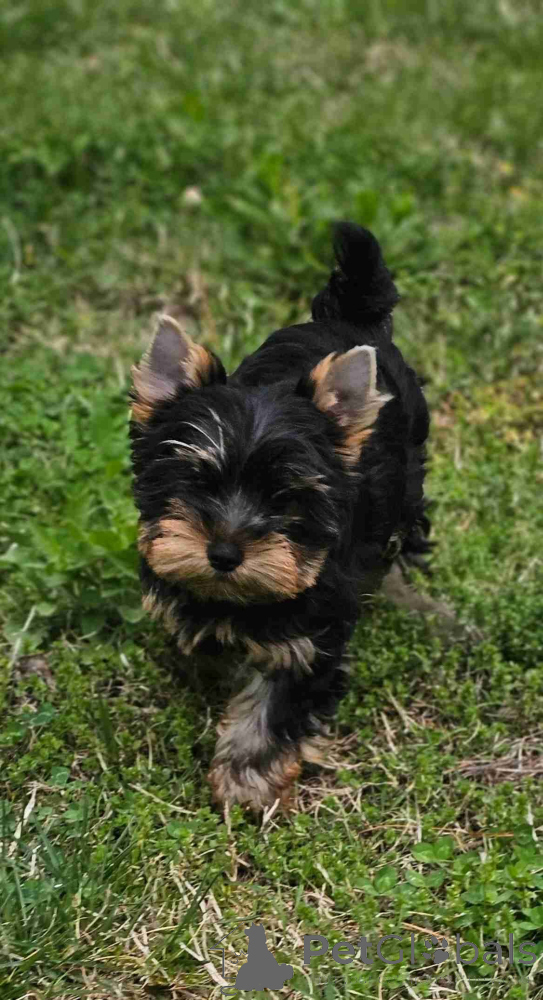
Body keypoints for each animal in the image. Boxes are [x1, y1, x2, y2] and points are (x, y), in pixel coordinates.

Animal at [130, 222, 449, 812]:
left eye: (285, 498)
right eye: (196, 483)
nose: (224, 554)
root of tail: (348, 318)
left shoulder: (311, 632)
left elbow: (277, 697)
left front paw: (247, 777)